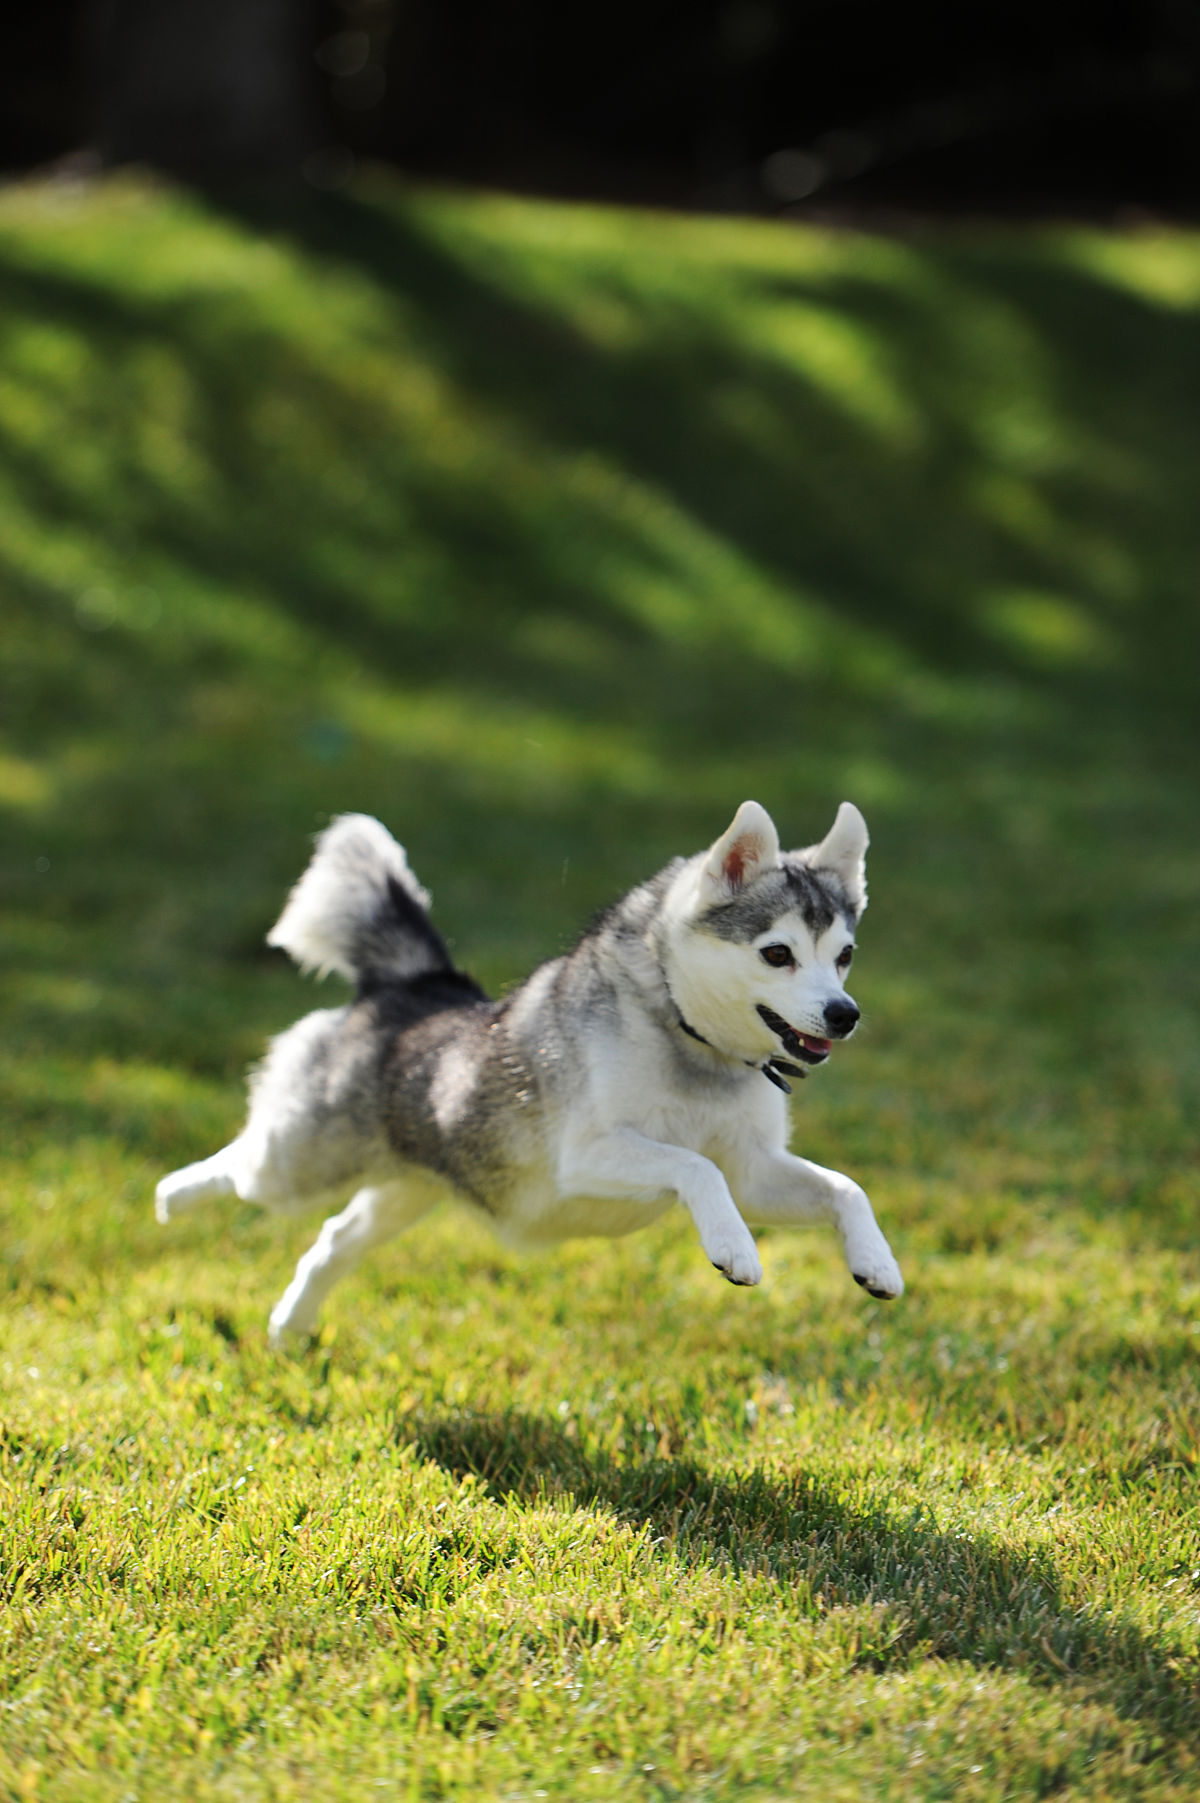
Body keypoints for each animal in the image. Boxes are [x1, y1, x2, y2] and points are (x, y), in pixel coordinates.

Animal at [161, 804, 908, 1341]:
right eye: (777, 953)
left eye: (843, 954)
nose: (844, 1014)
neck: (693, 1043)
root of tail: (422, 985)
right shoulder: (587, 1154)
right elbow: (697, 1167)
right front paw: (734, 1248)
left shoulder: (755, 1170)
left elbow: (846, 1188)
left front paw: (876, 1262)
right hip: (300, 1164)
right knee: (241, 1164)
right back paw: (172, 1197)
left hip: (407, 1191)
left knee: (332, 1240)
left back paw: (289, 1326)